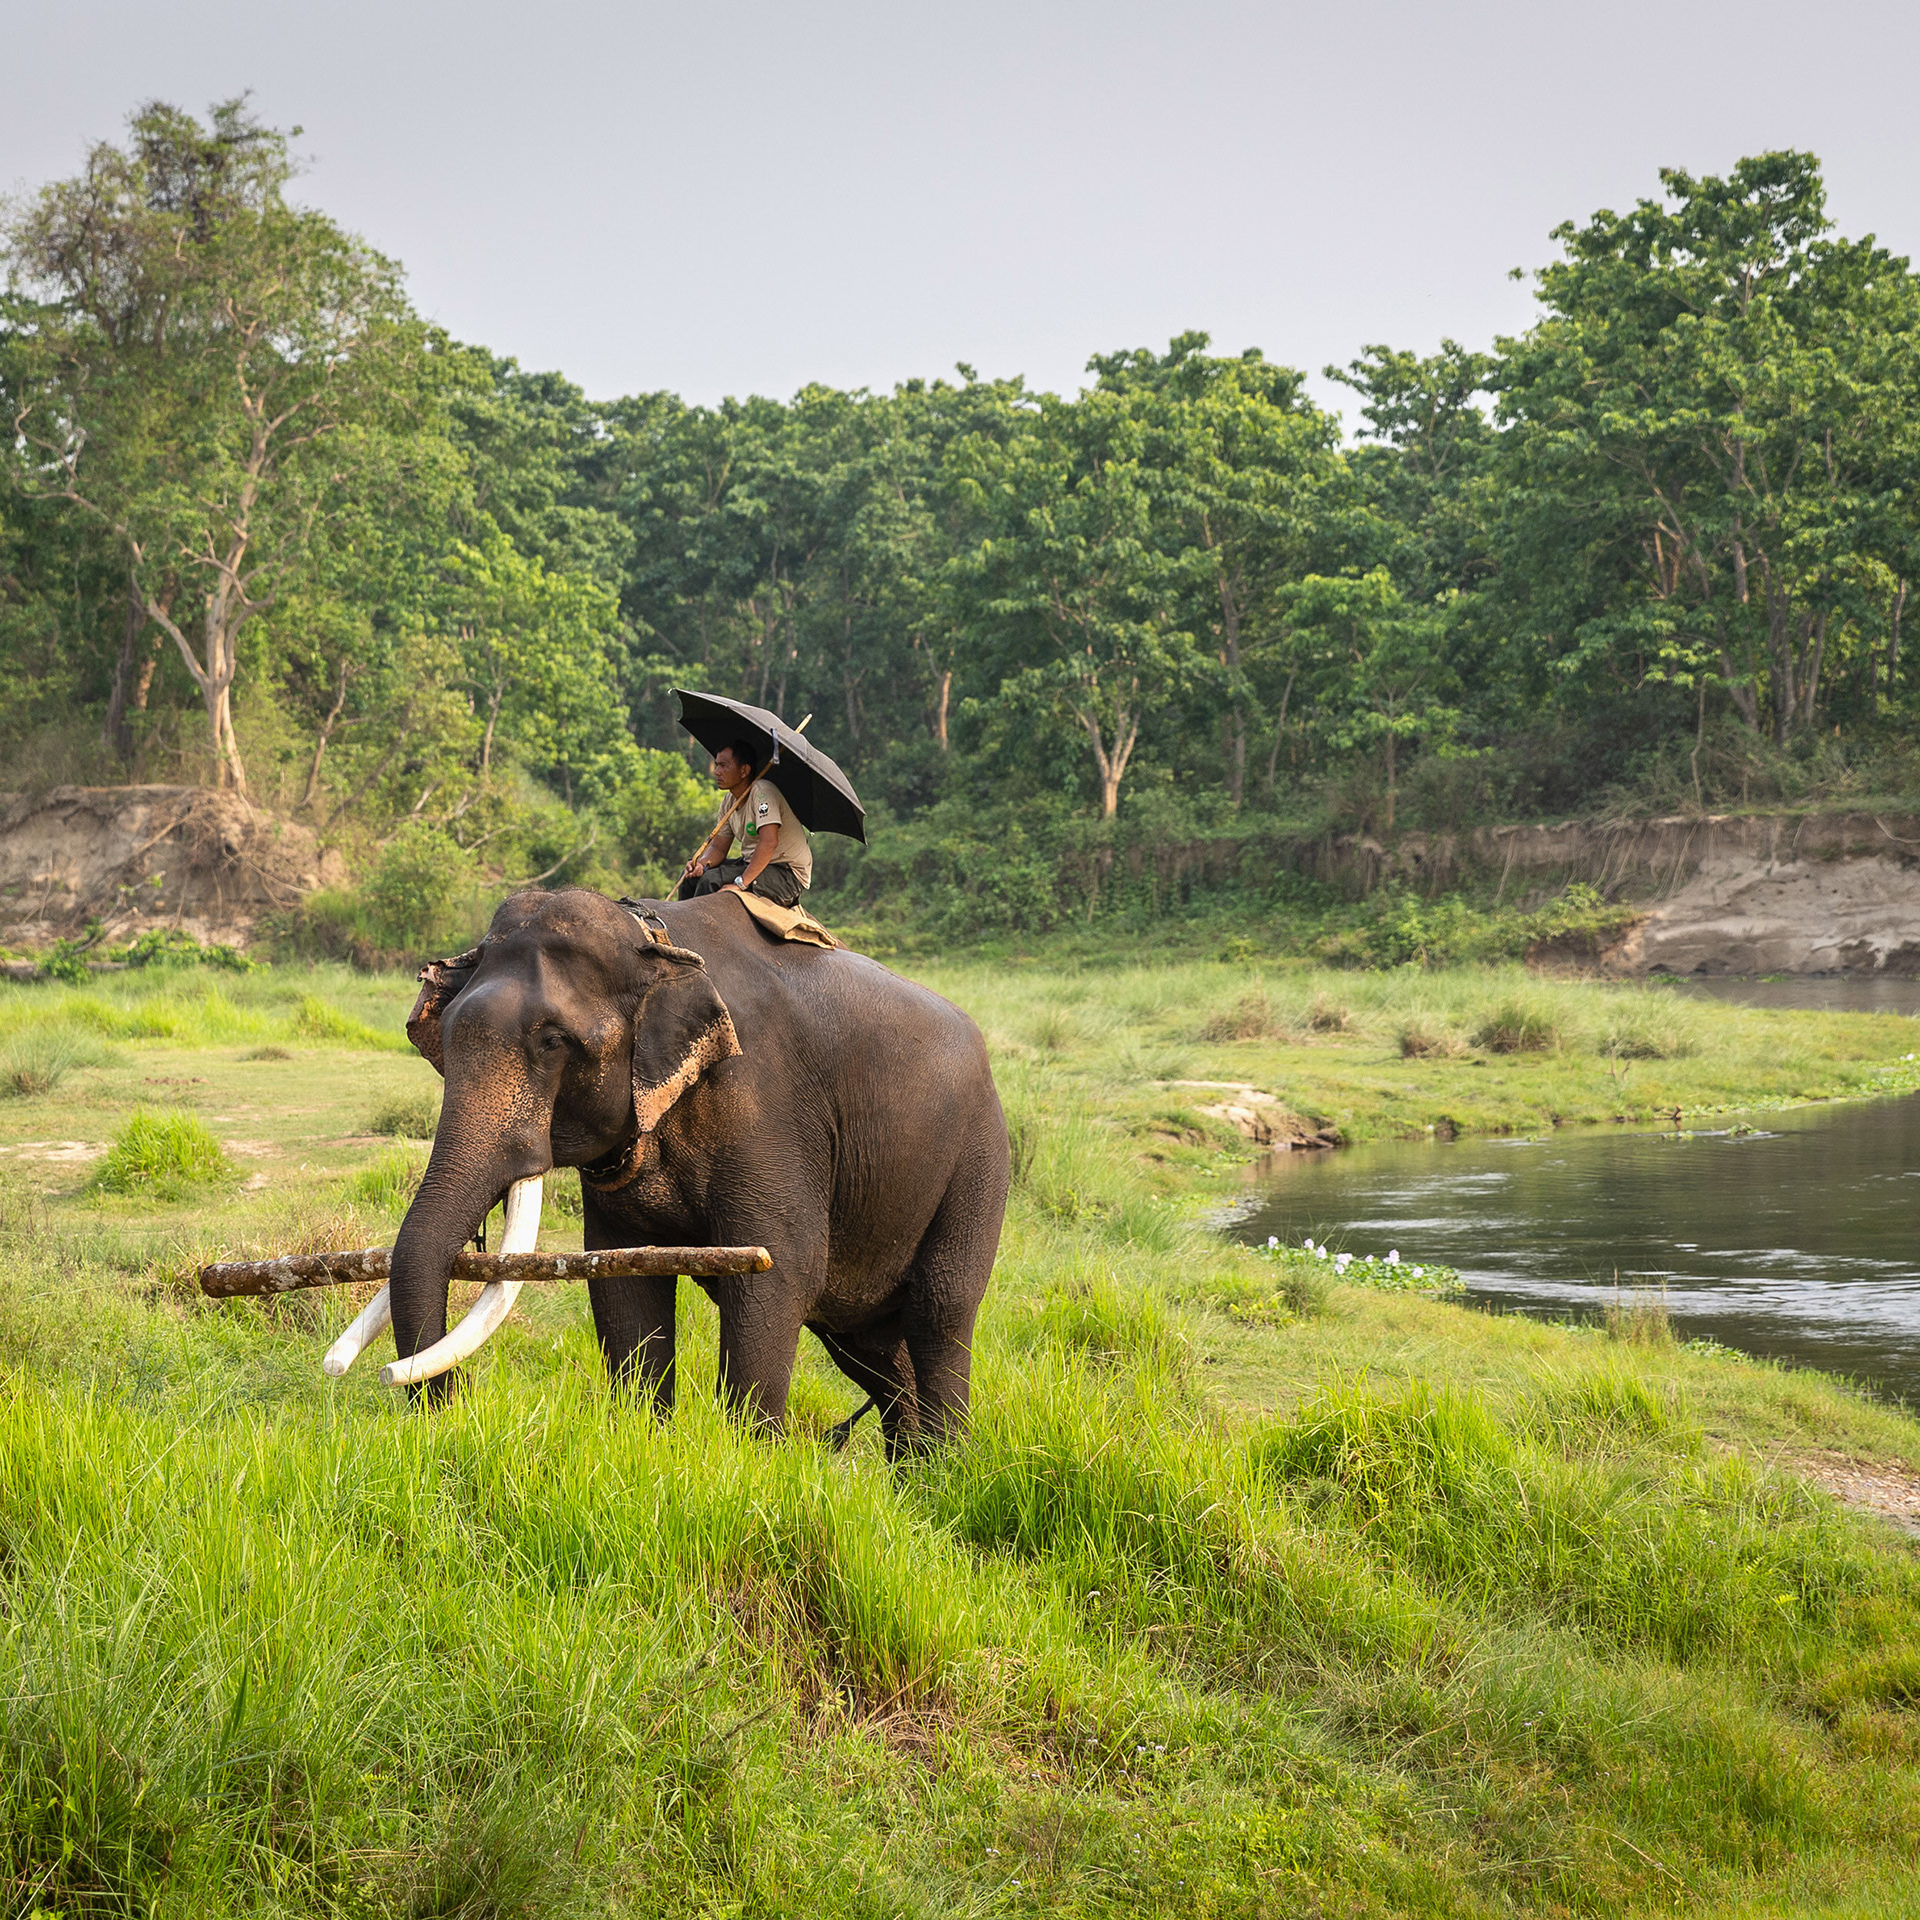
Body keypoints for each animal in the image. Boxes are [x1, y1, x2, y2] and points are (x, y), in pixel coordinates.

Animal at [371, 886, 1009, 1451]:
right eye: (444, 1040)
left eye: (552, 1041)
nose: (452, 1403)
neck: (654, 940)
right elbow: (621, 1278)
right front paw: (646, 1443)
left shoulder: (767, 1105)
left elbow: (783, 1271)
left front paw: (753, 1463)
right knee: (868, 1346)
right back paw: (916, 1482)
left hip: (980, 1157)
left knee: (939, 1311)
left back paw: (949, 1470)